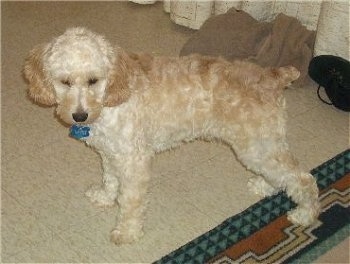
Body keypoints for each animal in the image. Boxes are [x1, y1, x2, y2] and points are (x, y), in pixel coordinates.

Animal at [23, 27, 320, 244]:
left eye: (93, 80)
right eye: (65, 81)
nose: (79, 116)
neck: (111, 98)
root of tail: (273, 75)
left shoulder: (135, 161)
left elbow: (130, 201)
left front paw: (127, 232)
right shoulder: (111, 153)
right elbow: (110, 180)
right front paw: (105, 198)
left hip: (257, 147)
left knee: (303, 179)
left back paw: (304, 214)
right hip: (260, 148)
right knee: (283, 177)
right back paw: (264, 186)